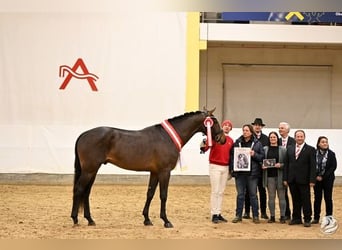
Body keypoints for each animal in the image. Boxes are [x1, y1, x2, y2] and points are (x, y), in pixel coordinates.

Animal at [71, 108, 226, 228]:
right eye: (215, 121)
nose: (222, 139)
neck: (167, 137)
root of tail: (83, 134)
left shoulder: (155, 172)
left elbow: (150, 194)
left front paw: (147, 219)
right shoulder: (164, 172)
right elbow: (163, 195)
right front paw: (166, 221)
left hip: (92, 171)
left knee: (86, 192)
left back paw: (90, 220)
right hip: (89, 170)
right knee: (79, 189)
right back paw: (75, 218)